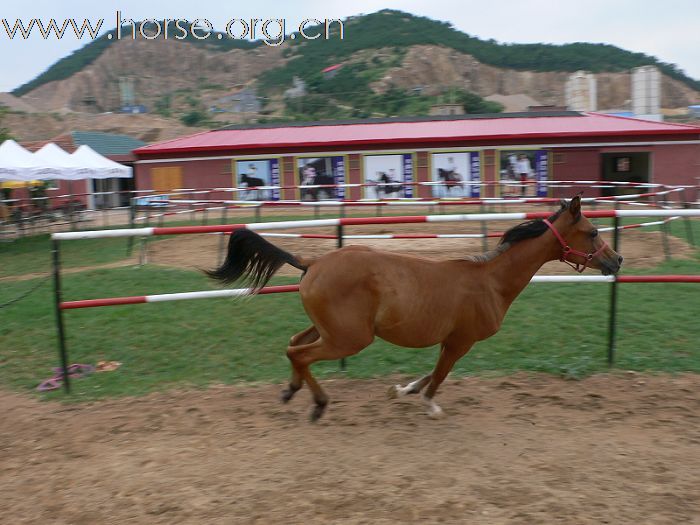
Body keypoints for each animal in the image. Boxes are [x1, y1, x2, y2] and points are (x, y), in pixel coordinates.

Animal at [206, 196, 624, 422]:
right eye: (592, 233)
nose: (617, 260)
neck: (491, 281)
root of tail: (312, 263)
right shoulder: (460, 341)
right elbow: (438, 376)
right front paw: (427, 405)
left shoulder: (451, 341)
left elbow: (430, 373)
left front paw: (402, 390)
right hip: (349, 338)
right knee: (300, 353)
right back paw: (318, 404)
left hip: (330, 329)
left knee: (294, 345)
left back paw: (291, 391)